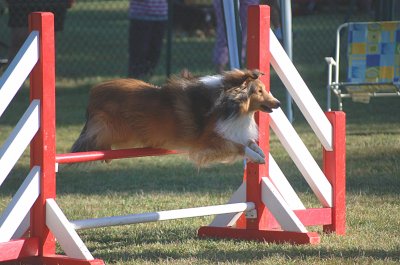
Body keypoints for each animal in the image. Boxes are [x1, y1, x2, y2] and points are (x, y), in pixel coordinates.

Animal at [70, 69, 280, 166]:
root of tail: (93, 93)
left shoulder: (231, 131)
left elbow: (248, 142)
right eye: (259, 91)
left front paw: (259, 152)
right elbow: (239, 146)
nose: (278, 103)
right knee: (96, 136)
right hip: (117, 129)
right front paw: (257, 157)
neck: (229, 102)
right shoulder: (208, 140)